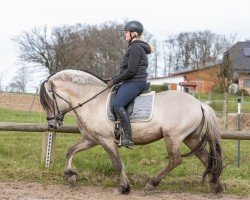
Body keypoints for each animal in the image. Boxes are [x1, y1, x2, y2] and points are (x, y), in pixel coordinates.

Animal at [40, 69, 224, 195]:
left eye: (48, 100)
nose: (52, 125)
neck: (92, 100)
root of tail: (199, 104)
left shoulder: (106, 140)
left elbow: (117, 163)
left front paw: (124, 187)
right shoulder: (91, 139)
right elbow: (70, 151)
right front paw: (70, 176)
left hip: (173, 137)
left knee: (175, 160)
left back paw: (152, 183)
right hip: (190, 138)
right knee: (206, 158)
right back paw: (215, 186)